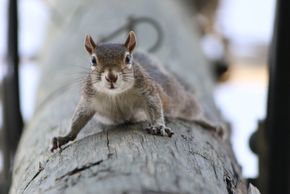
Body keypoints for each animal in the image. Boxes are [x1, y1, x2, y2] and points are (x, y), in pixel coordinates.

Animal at [50, 31, 224, 152]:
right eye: (93, 60)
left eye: (128, 59)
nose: (111, 77)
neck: (115, 94)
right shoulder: (89, 99)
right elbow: (78, 120)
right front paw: (64, 137)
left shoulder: (147, 91)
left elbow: (155, 108)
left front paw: (159, 126)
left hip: (178, 100)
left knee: (193, 110)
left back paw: (211, 124)